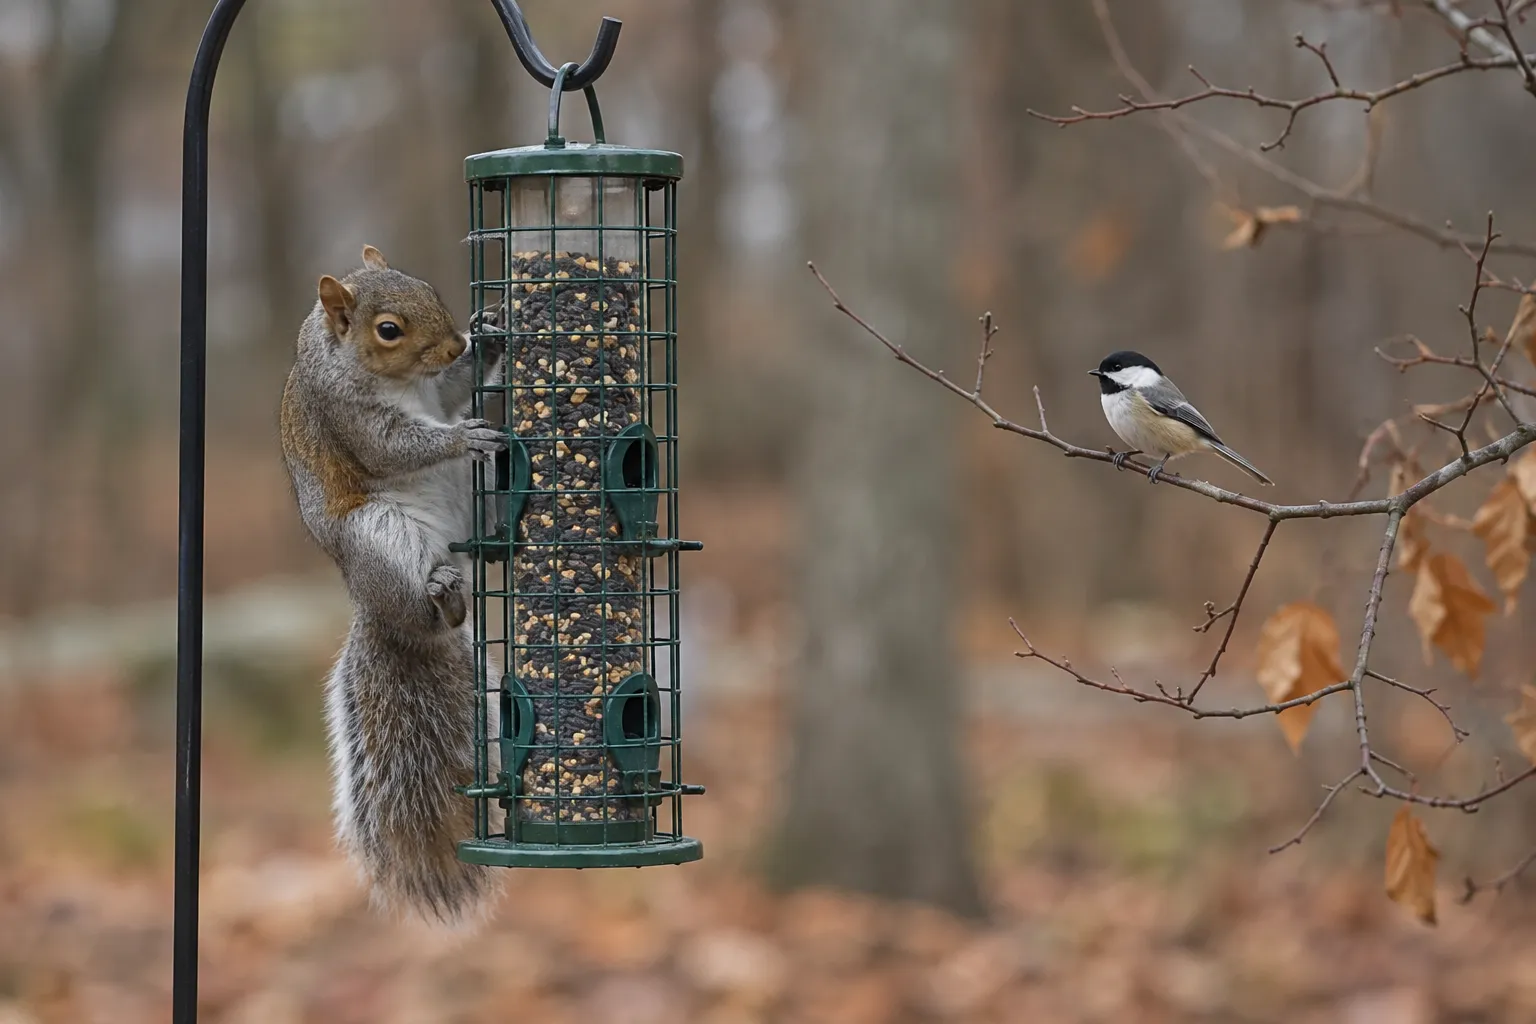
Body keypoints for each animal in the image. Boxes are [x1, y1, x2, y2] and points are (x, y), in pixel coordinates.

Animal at [279, 244, 505, 925]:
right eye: (388, 330)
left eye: (429, 288)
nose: (456, 342)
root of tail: (375, 610)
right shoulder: (346, 415)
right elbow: (394, 445)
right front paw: (457, 433)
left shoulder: (438, 385)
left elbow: (455, 389)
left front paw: (488, 340)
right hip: (380, 537)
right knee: (426, 608)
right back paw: (444, 601)